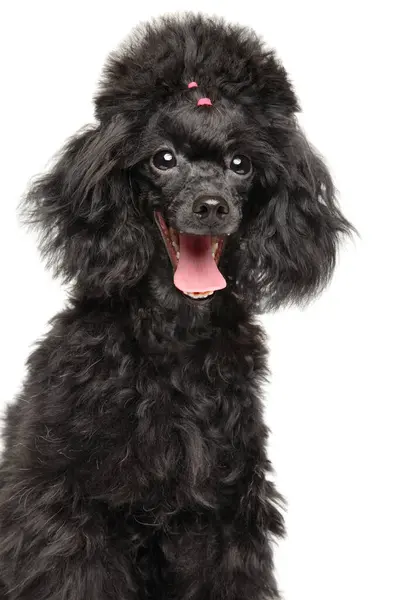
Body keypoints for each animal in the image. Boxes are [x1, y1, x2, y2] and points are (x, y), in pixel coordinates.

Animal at [0, 12, 350, 600]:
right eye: (163, 159)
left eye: (240, 164)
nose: (211, 206)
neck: (172, 339)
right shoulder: (68, 506)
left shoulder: (222, 510)